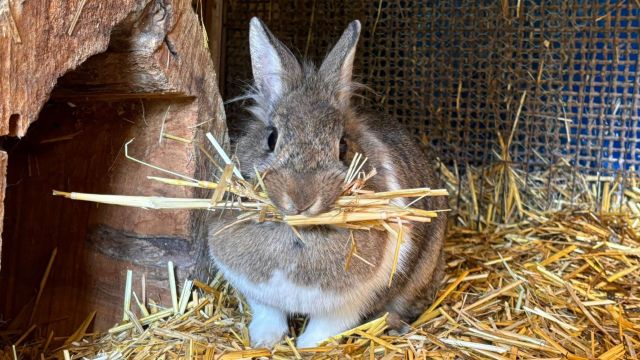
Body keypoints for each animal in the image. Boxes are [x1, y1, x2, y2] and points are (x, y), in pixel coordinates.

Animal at [208, 16, 448, 348]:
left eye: (343, 146)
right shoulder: (257, 292)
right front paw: (264, 341)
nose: (301, 199)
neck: (298, 234)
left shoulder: (347, 306)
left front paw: (307, 347)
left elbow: (325, 329)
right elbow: (269, 315)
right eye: (271, 138)